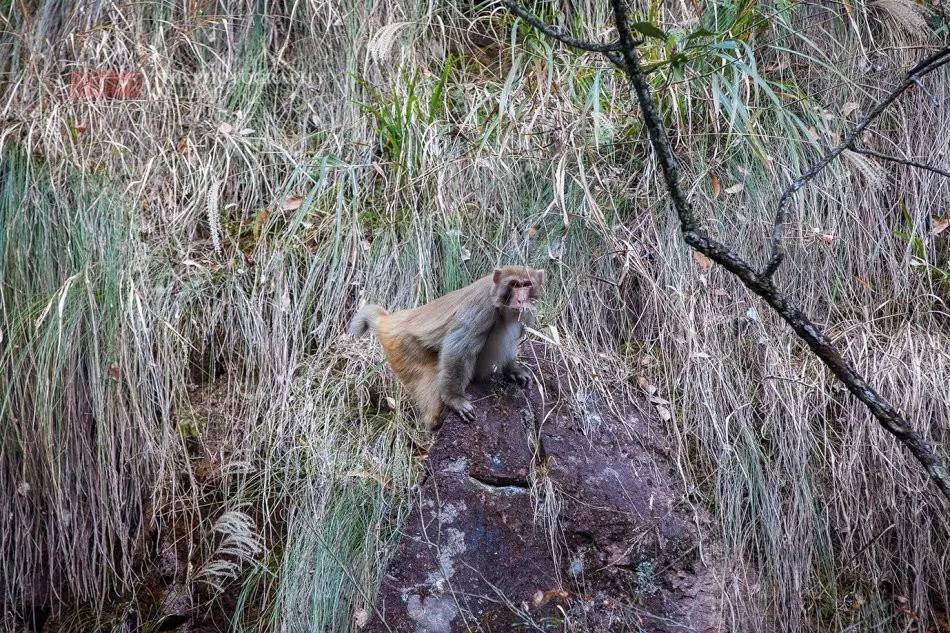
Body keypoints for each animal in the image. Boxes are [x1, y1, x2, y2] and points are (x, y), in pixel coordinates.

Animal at [348, 264, 544, 432]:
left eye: (527, 284)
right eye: (515, 285)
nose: (521, 299)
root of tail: (388, 320)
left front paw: (512, 369)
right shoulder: (482, 308)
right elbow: (458, 349)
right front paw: (454, 398)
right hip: (401, 347)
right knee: (429, 373)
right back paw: (433, 421)